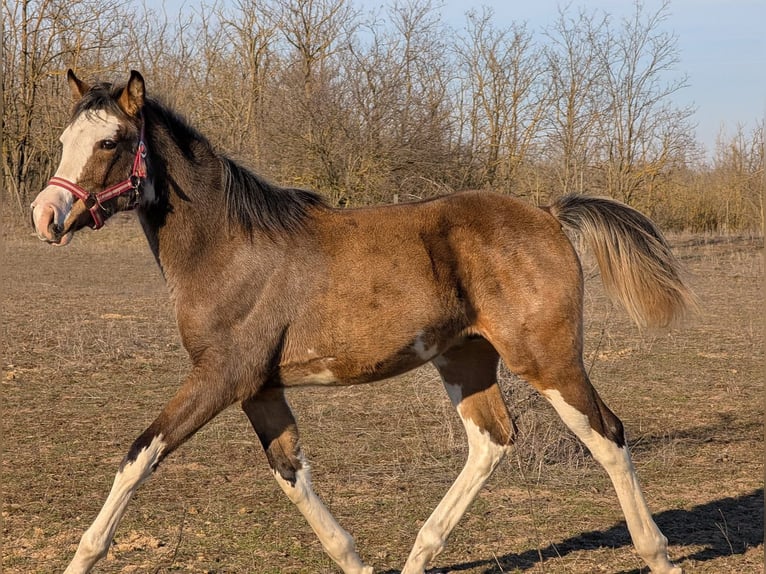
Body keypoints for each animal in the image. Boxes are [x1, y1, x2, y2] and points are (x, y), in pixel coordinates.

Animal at [30, 69, 694, 574]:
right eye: (65, 137)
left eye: (111, 141)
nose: (46, 215)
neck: (229, 246)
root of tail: (549, 213)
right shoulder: (259, 388)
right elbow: (290, 471)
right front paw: (356, 559)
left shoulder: (220, 378)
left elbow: (139, 455)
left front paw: (82, 557)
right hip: (465, 359)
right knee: (491, 440)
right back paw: (420, 554)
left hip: (548, 360)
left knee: (607, 435)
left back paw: (657, 553)